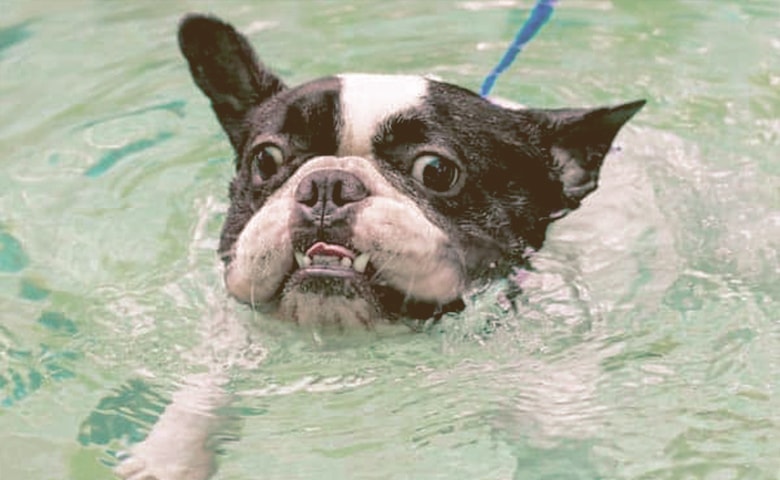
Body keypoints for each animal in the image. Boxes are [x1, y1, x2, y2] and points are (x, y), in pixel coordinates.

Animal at [119, 12, 644, 480]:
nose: (328, 184)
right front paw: (168, 457)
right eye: (265, 159)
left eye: (436, 171)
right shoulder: (232, 334)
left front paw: (560, 451)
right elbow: (202, 386)